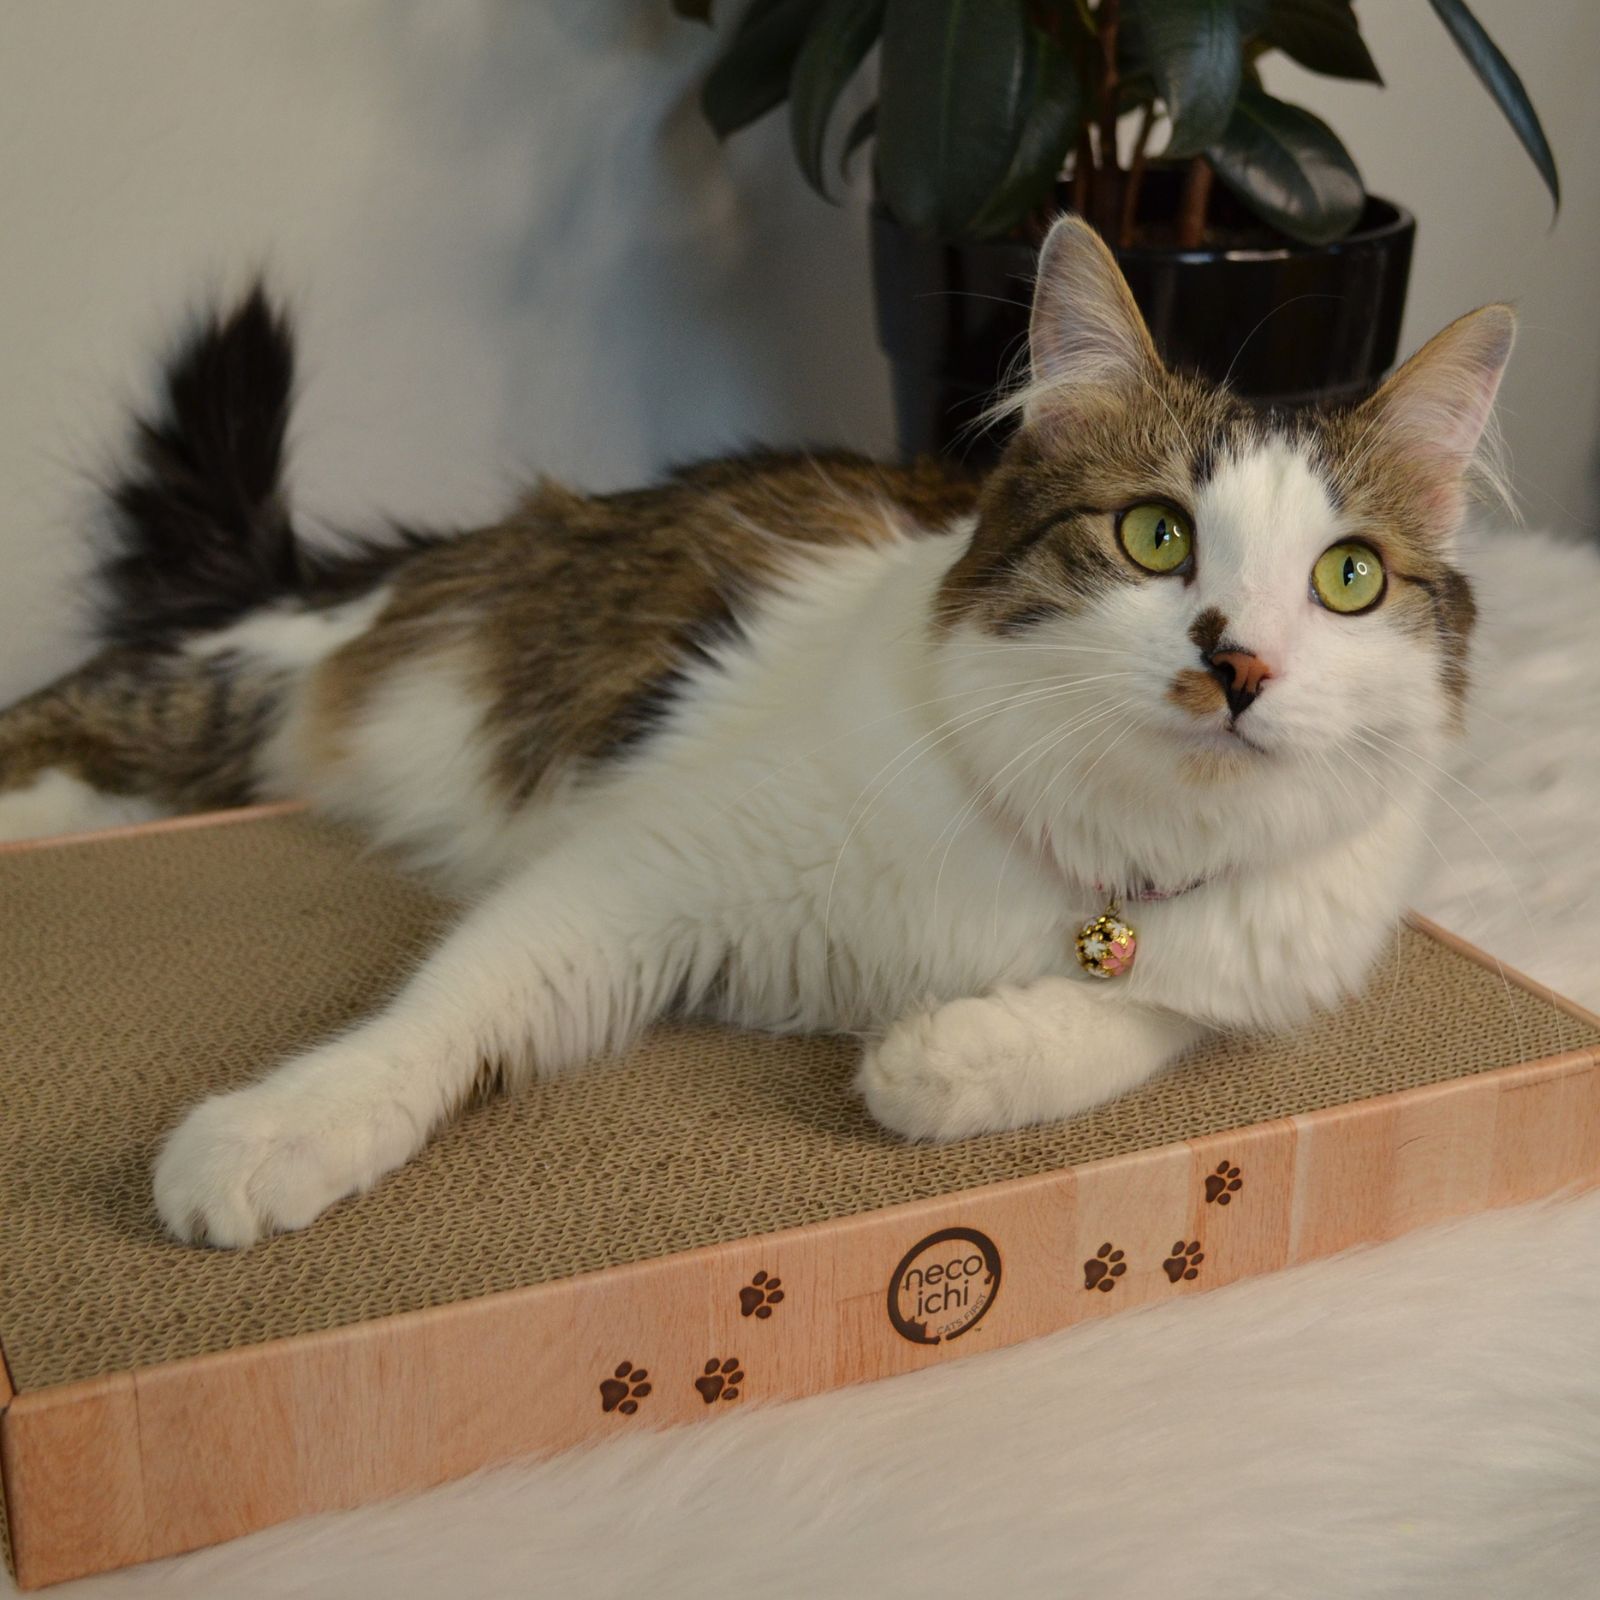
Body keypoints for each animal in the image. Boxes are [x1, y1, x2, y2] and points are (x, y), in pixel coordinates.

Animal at [0, 222, 1510, 1248]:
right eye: (1155, 537)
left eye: (1348, 578)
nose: (1239, 664)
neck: (1100, 847)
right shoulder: (639, 867)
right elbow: (438, 1011)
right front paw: (274, 1134)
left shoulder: (1245, 971)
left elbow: (1132, 1019)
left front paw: (941, 1060)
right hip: (241, 688)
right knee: (69, 723)